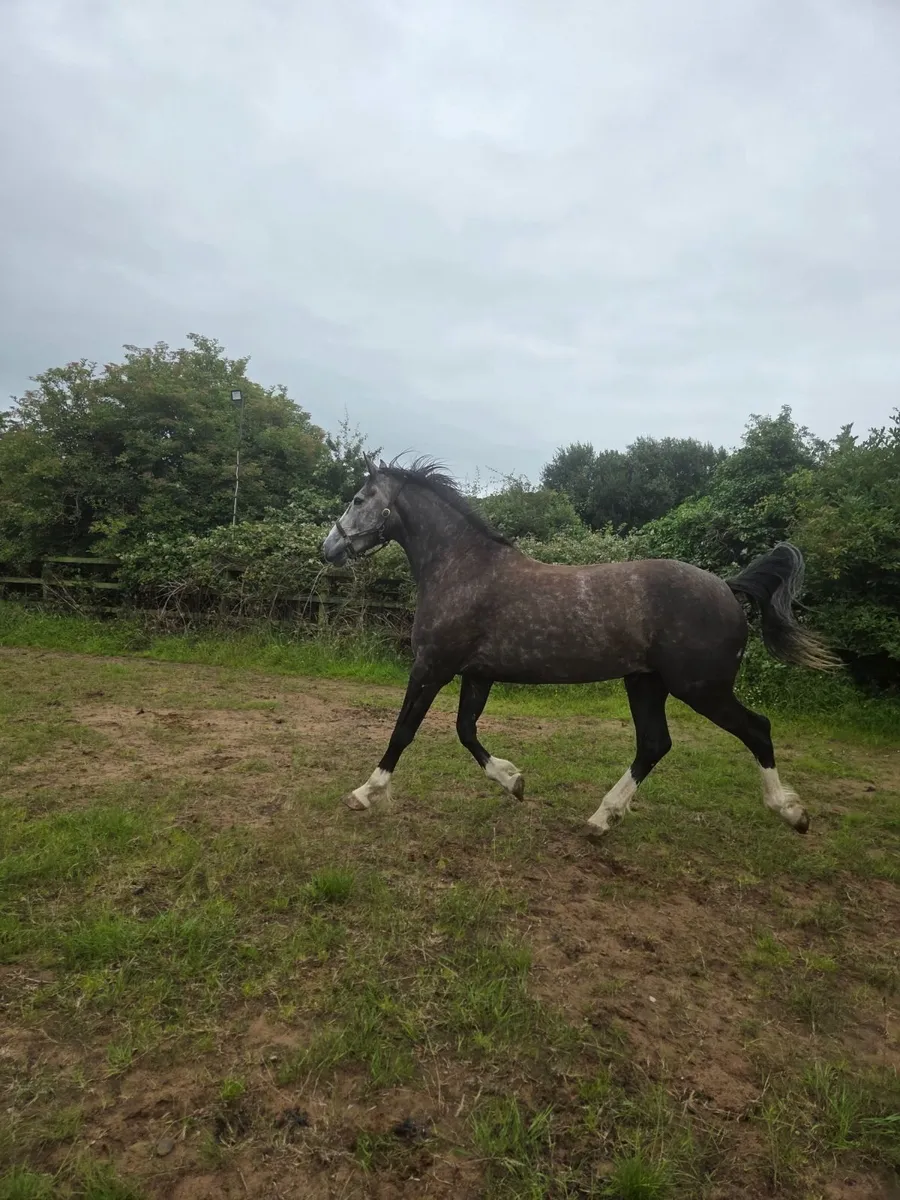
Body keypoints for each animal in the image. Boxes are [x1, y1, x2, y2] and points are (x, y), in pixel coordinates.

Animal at [321, 457, 839, 837]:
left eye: (359, 498)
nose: (329, 548)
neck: (463, 570)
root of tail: (728, 588)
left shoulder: (432, 666)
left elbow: (403, 731)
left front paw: (364, 793)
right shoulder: (477, 674)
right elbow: (466, 732)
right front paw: (514, 781)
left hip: (701, 688)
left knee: (757, 730)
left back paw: (791, 813)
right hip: (646, 683)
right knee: (655, 744)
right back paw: (601, 819)